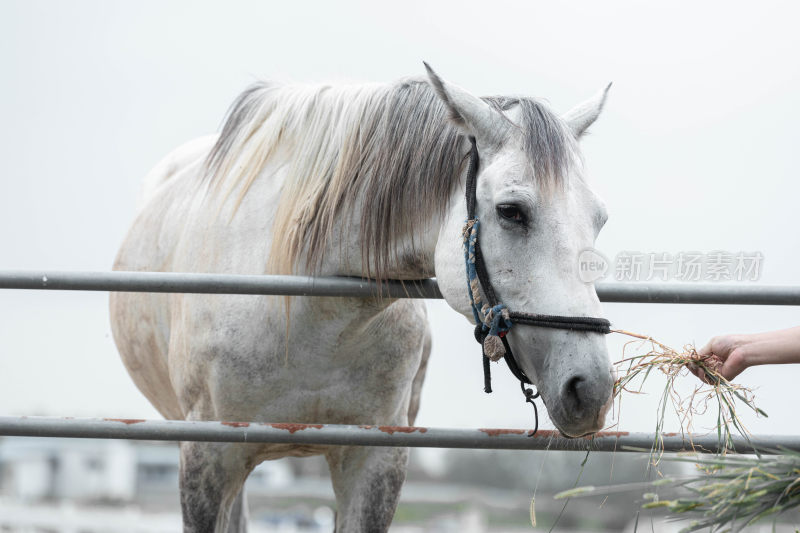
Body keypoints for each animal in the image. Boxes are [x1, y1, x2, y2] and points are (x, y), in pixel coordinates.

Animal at [109, 64, 616, 528]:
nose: (590, 389)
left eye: (599, 219)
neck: (308, 315)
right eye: (512, 211)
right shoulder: (207, 458)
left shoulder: (376, 460)